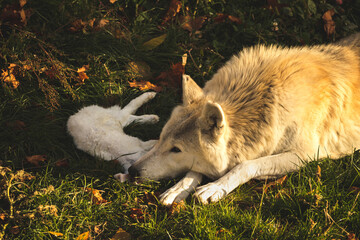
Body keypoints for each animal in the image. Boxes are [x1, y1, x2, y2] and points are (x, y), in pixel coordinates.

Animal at [129, 33, 360, 204]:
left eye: (176, 150)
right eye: (161, 139)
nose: (132, 171)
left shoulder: (305, 154)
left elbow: (246, 165)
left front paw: (215, 187)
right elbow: (195, 169)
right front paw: (179, 188)